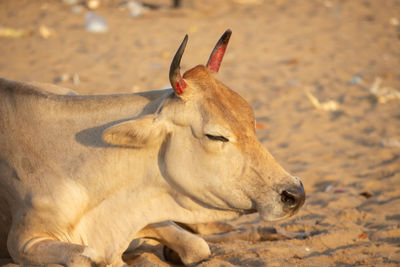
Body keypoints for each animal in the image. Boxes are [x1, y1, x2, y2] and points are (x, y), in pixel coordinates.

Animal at [0, 30, 306, 266]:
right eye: (216, 136)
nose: (295, 194)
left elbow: (197, 246)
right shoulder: (23, 242)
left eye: (252, 121)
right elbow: (86, 257)